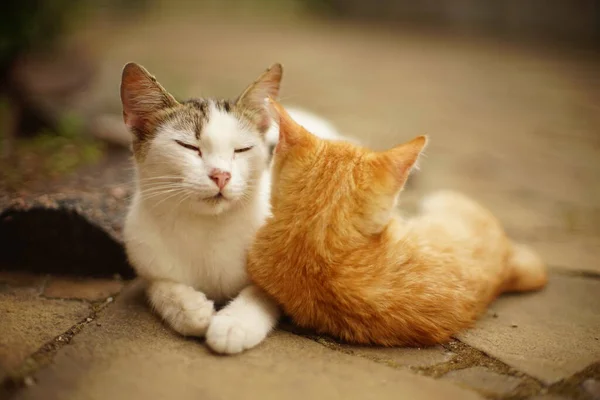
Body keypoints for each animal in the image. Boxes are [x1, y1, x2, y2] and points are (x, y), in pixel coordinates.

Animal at [120, 62, 344, 354]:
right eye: (188, 146)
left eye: (242, 149)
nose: (221, 175)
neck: (206, 226)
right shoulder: (147, 260)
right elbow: (160, 287)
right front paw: (190, 309)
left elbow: (259, 293)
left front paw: (234, 324)